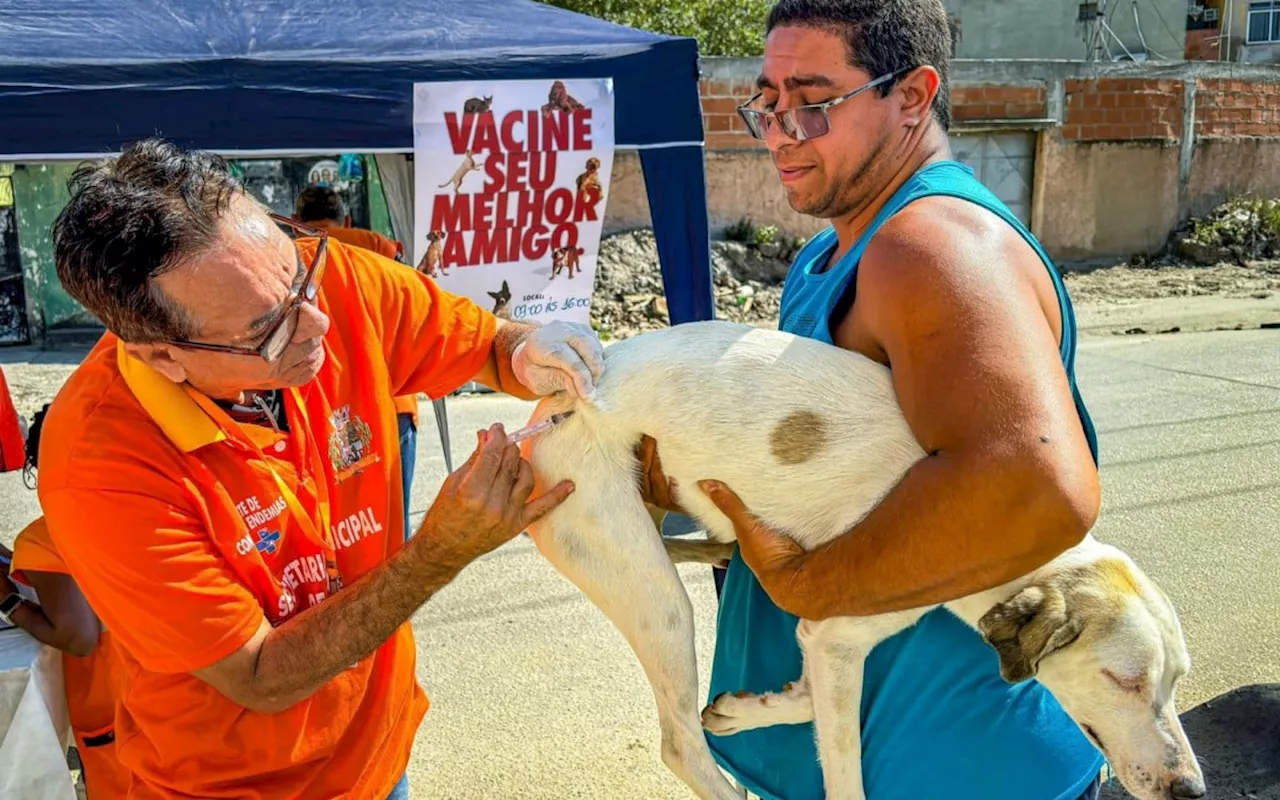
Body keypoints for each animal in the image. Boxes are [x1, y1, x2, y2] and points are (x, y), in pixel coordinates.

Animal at [517, 320, 1198, 798]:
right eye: (1124, 679)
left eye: (1174, 681)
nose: (1191, 789)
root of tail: (565, 396)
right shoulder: (840, 637)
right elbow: (845, 775)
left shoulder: (823, 638)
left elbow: (802, 693)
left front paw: (749, 708)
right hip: (654, 599)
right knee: (680, 743)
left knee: (703, 547)